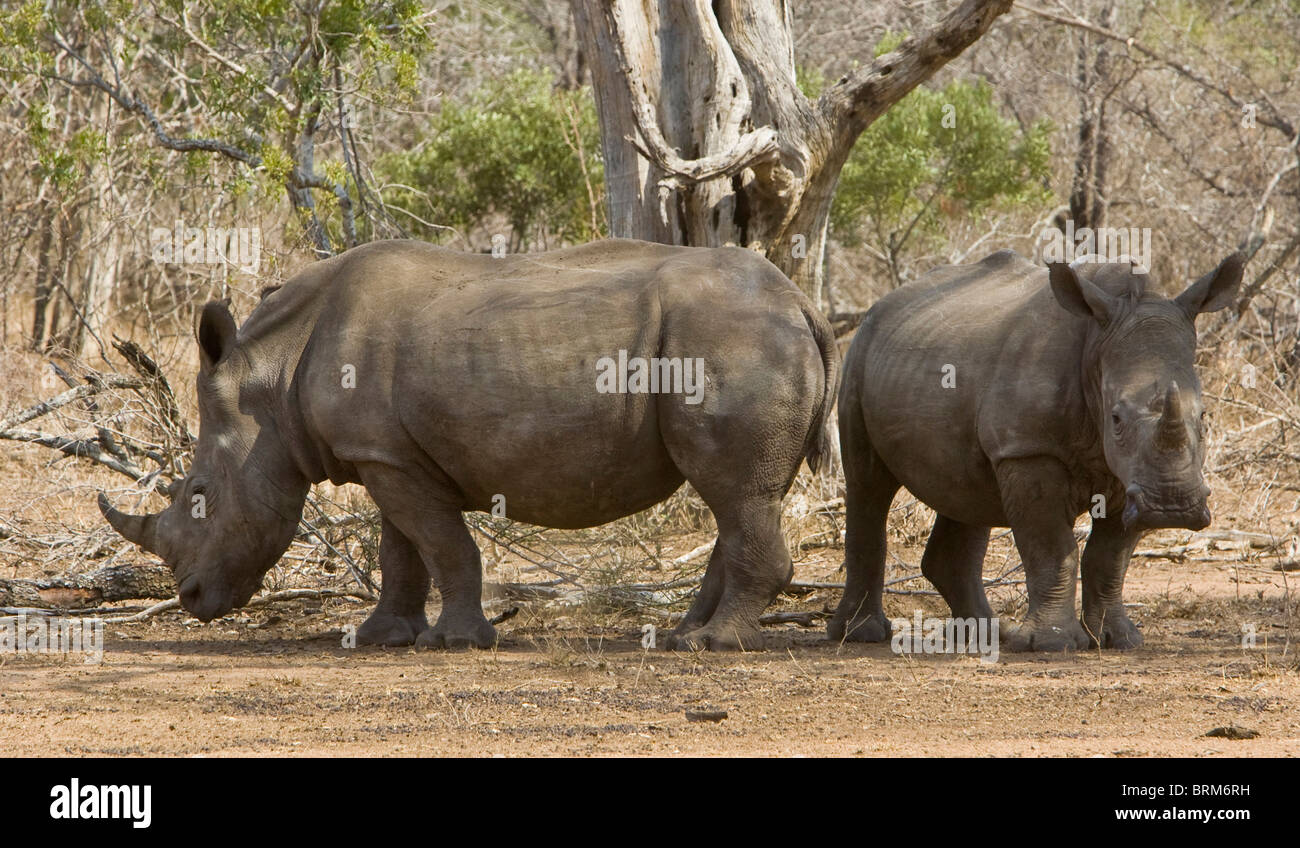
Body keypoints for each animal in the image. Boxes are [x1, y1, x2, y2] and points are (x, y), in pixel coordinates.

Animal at [99, 239, 837, 651]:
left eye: (199, 493)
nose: (191, 599)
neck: (270, 378)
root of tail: (802, 302)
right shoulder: (385, 453)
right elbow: (401, 550)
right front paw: (381, 640)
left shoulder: (389, 458)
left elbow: (443, 544)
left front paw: (455, 642)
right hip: (736, 337)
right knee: (737, 500)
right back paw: (686, 636)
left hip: (733, 341)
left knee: (736, 495)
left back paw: (713, 644)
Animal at [828, 249, 1244, 651]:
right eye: (1115, 418)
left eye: (1204, 416)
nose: (1171, 507)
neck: (1097, 344)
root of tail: (882, 304)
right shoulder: (1029, 449)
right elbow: (1053, 547)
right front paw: (1051, 643)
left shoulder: (1128, 475)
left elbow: (1109, 557)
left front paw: (1120, 640)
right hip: (858, 358)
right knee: (868, 485)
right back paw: (861, 634)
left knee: (966, 493)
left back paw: (989, 635)